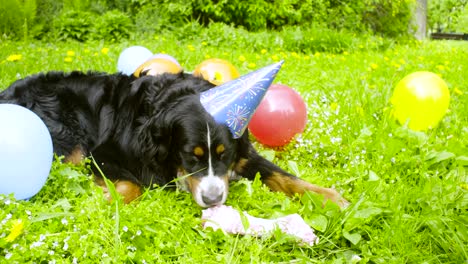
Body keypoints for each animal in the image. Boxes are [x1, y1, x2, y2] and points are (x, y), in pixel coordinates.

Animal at [0, 71, 348, 207]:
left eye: (223, 154)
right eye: (191, 156)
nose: (213, 200)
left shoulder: (243, 153)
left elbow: (283, 176)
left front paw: (329, 197)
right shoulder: (101, 154)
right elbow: (132, 186)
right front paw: (102, 198)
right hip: (70, 139)